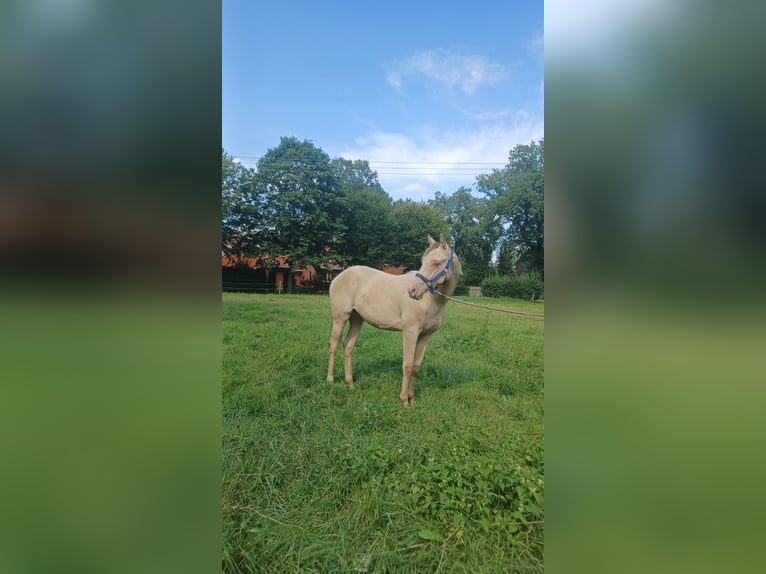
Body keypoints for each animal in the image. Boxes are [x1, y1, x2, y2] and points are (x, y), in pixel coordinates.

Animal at [326, 234, 462, 404]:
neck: (430, 301)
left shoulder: (426, 335)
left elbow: (416, 366)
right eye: (423, 261)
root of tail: (338, 277)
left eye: (436, 262)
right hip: (340, 317)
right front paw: (404, 400)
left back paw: (350, 383)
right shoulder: (410, 332)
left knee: (348, 346)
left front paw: (412, 398)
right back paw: (330, 379)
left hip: (357, 319)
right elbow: (408, 365)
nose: (412, 291)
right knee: (334, 344)